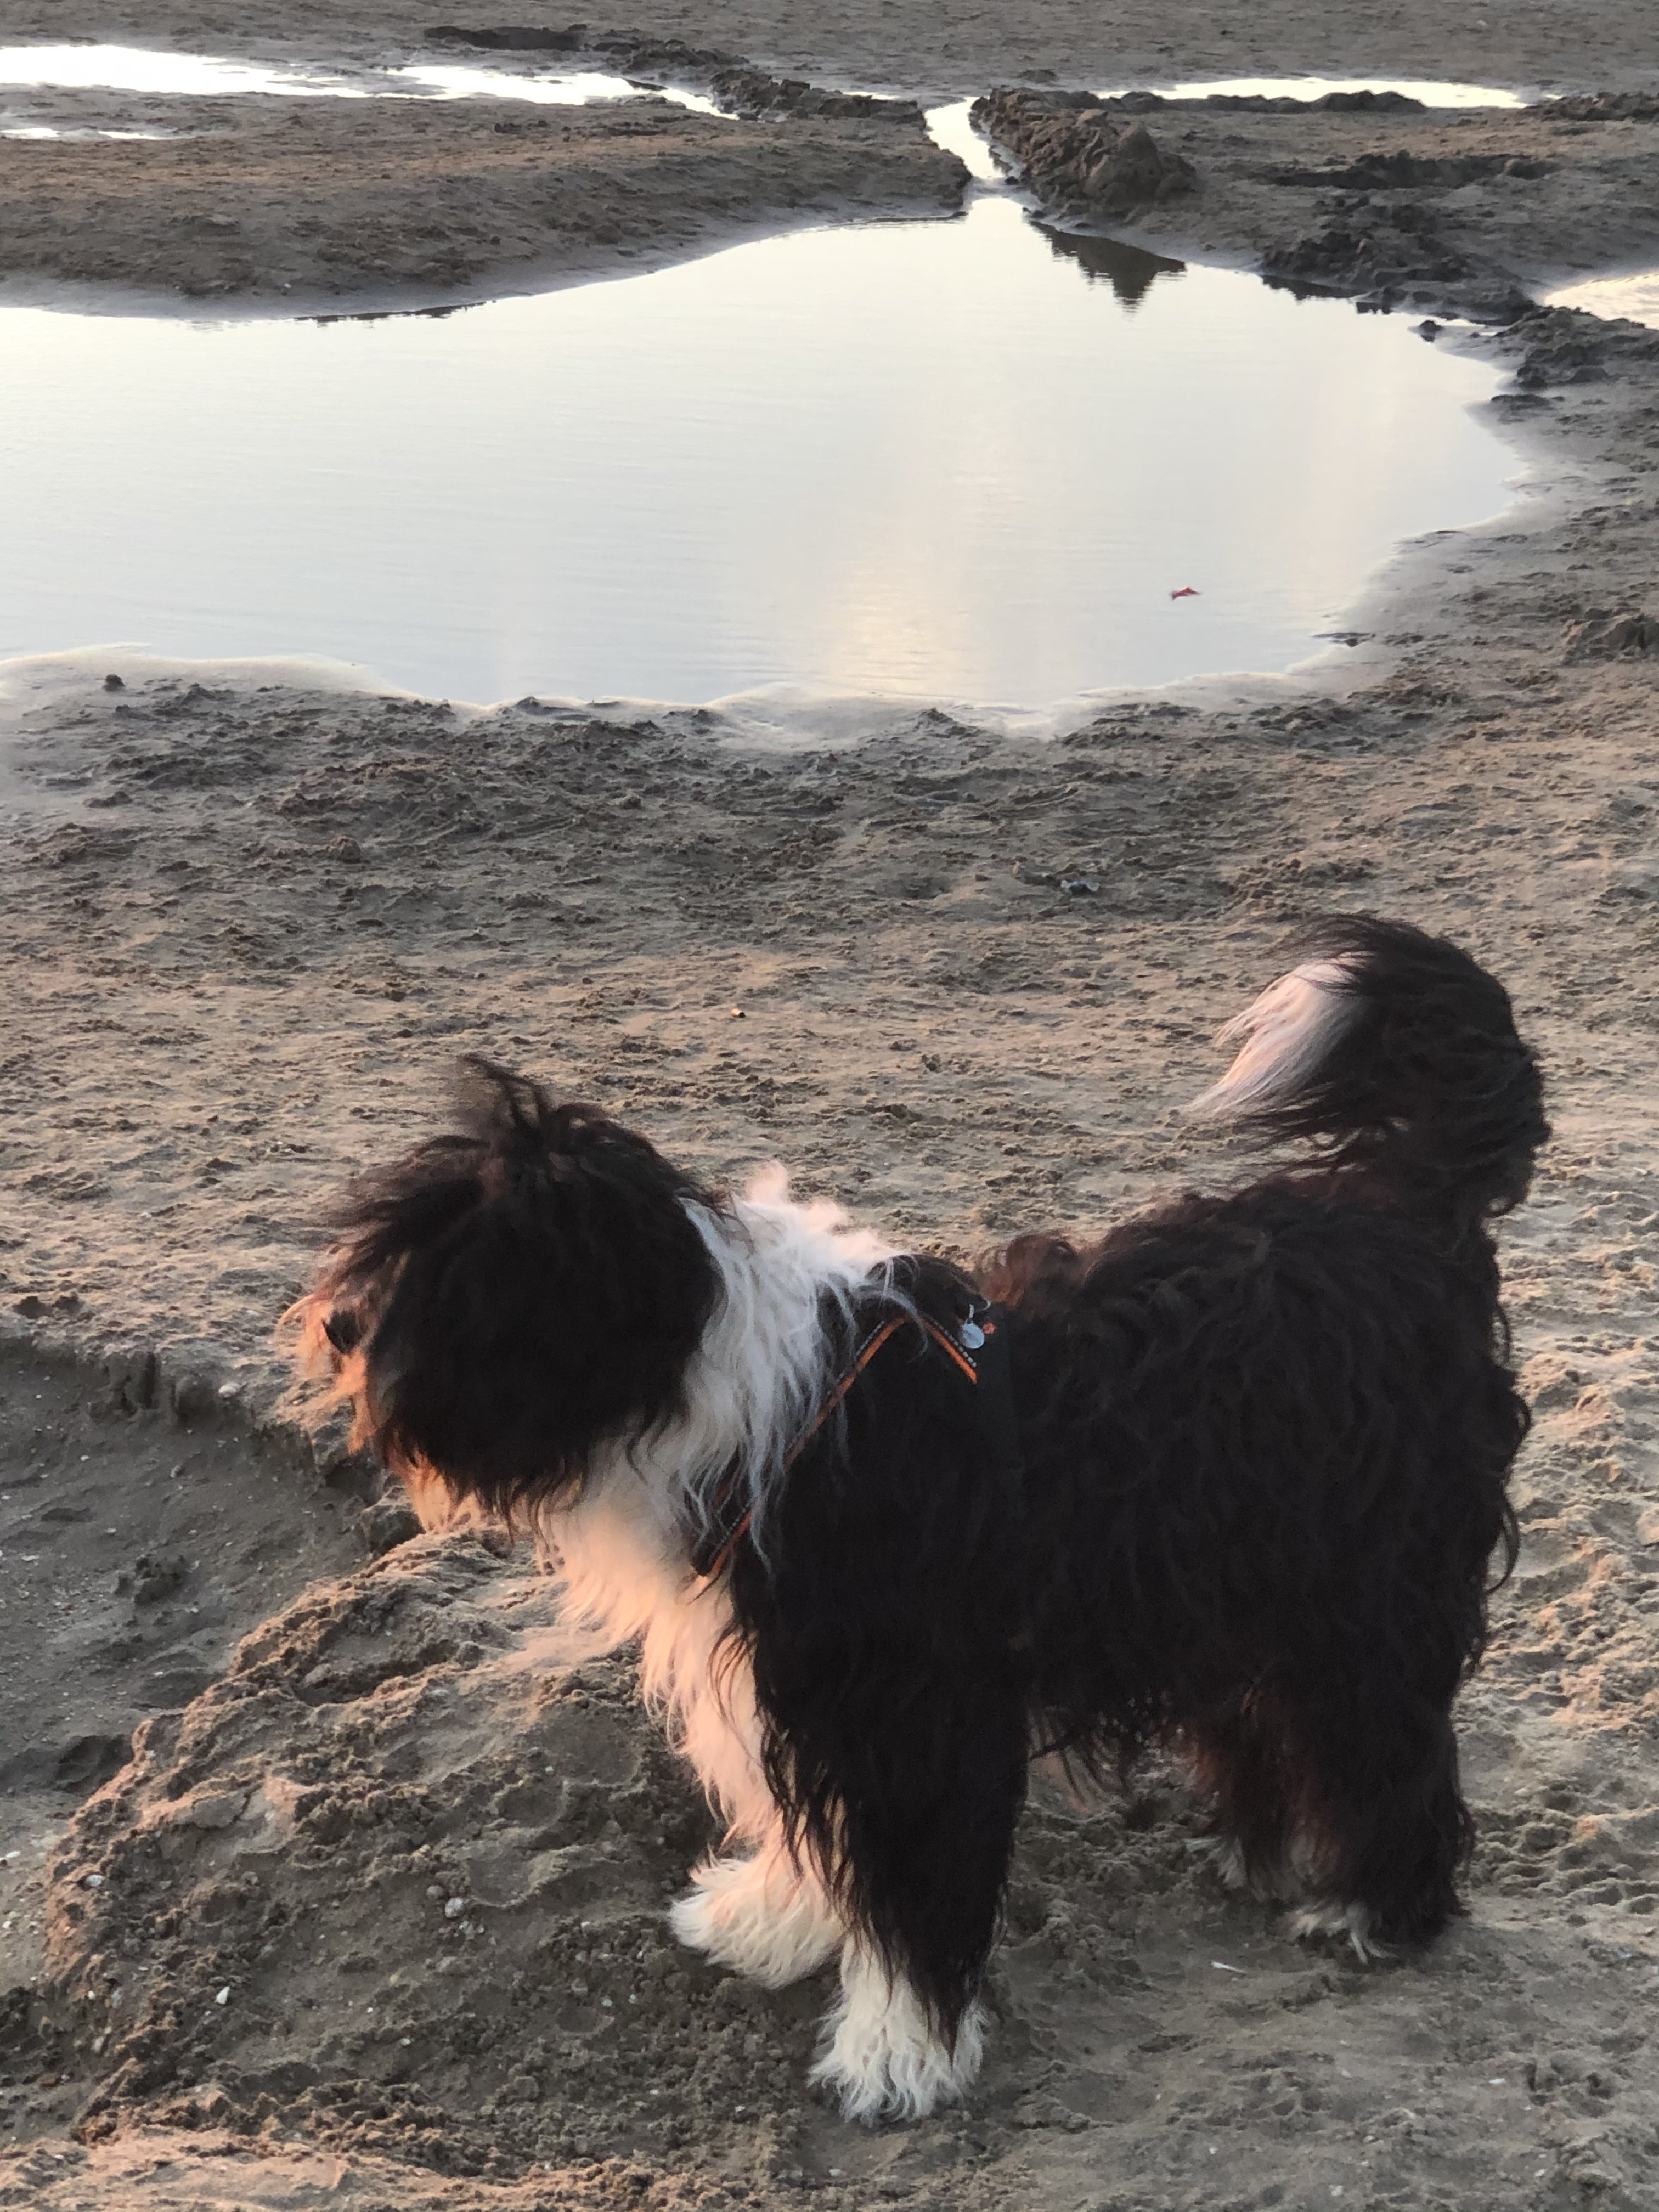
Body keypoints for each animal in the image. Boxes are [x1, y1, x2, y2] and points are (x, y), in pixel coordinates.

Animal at [286, 915, 1546, 2123]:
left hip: (1365, 1591)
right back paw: (1260, 1852)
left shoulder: (909, 1710)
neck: (741, 1396)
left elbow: (905, 1894)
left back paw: (1375, 1908)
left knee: (1383, 1739)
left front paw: (896, 2059)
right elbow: (811, 1837)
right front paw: (770, 1922)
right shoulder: (790, 1687)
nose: (338, 1325)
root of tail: (1406, 1203)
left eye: (465, 1276)